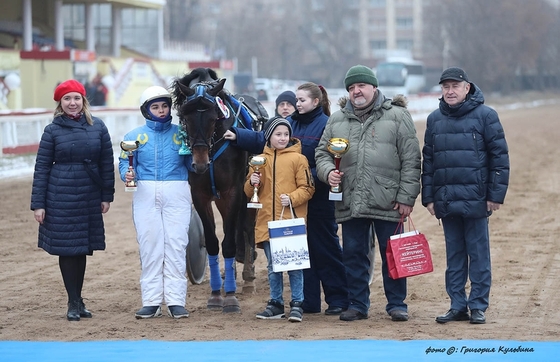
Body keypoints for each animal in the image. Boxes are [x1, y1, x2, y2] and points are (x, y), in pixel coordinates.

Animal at [172, 69, 258, 312]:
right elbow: (211, 242)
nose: (200, 163)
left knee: (247, 227)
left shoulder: (233, 192)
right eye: (186, 118)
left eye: (213, 118)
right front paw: (216, 295)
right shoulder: (200, 194)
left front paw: (229, 298)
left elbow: (228, 242)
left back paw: (248, 277)